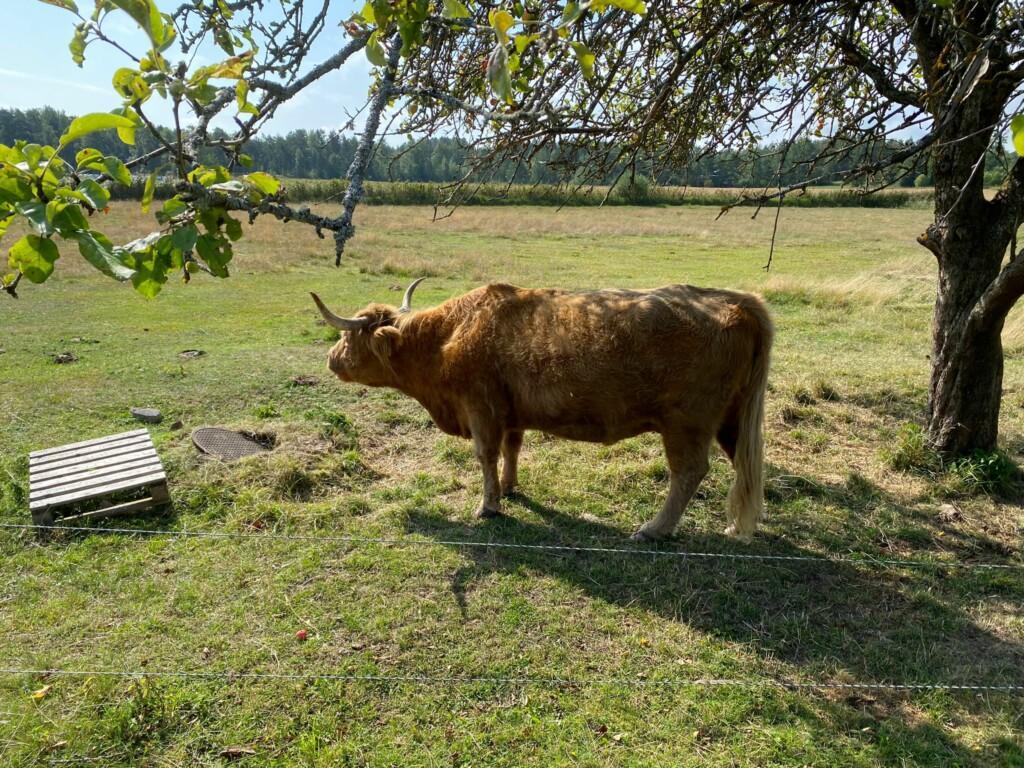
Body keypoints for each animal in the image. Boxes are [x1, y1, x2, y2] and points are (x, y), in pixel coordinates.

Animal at [307, 278, 770, 540]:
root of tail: (738, 300)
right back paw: (736, 524)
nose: (330, 358)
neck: (448, 336)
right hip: (731, 420)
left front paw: (488, 505)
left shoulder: (480, 408)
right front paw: (510, 488)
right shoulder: (510, 413)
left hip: (686, 423)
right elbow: (511, 449)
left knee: (688, 472)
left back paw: (654, 530)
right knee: (743, 467)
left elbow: (485, 455)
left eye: (347, 338)